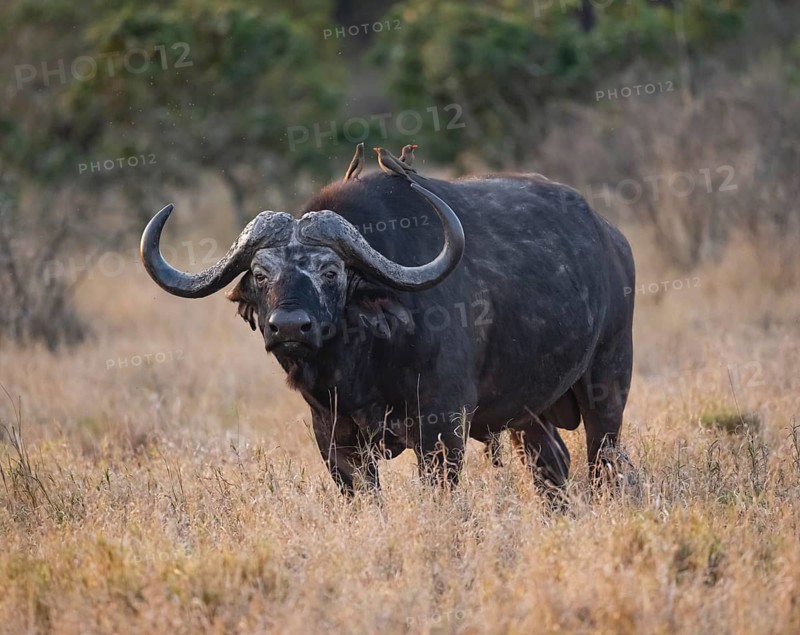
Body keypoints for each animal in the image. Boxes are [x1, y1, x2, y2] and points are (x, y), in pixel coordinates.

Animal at [141, 170, 635, 495]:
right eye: (261, 275)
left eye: (331, 271)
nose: (289, 326)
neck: (361, 367)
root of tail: (612, 239)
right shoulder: (335, 441)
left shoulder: (442, 429)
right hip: (529, 413)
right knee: (552, 465)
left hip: (608, 383)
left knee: (603, 463)